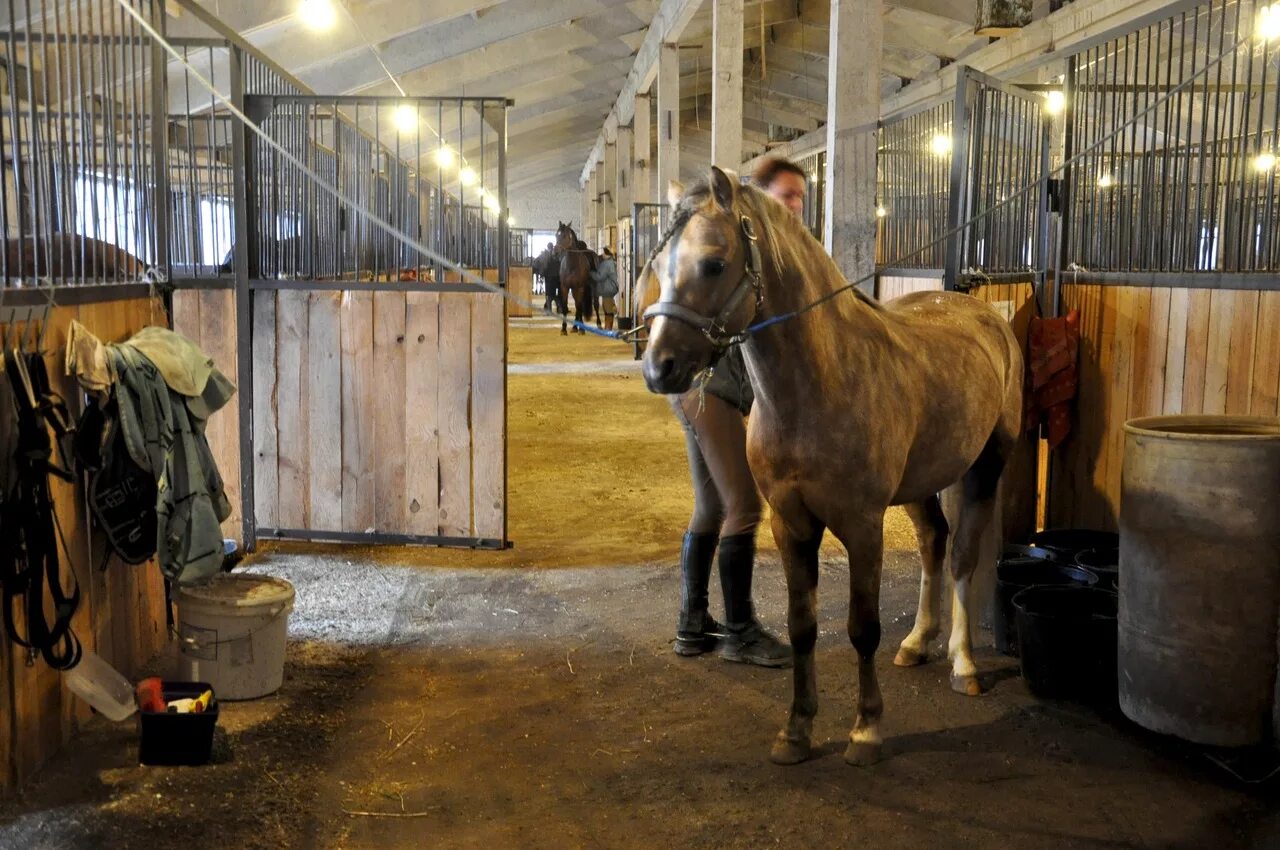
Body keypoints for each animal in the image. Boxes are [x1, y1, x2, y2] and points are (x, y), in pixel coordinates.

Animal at [640, 168, 1018, 768]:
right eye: (657, 268)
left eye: (714, 263)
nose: (659, 367)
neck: (820, 383)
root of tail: (983, 314)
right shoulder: (790, 523)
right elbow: (803, 627)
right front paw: (796, 731)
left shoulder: (862, 525)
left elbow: (862, 627)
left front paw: (866, 731)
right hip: (921, 483)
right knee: (934, 542)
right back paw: (917, 643)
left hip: (985, 467)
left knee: (961, 556)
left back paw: (963, 664)